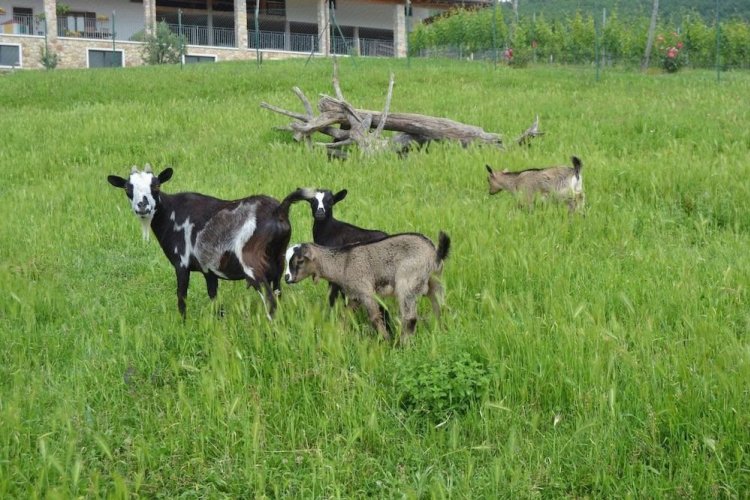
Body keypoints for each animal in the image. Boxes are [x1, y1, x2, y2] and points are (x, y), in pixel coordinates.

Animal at [107, 164, 309, 319]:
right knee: (278, 293)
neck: (170, 213)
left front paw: (183, 324)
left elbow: (181, 296)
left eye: (156, 186)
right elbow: (214, 298)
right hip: (279, 261)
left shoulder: (181, 264)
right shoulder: (208, 270)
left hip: (252, 264)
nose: (142, 206)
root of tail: (279, 210)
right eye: (128, 189)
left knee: (270, 300)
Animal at [284, 232, 451, 342]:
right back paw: (442, 331)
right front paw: (339, 332)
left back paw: (402, 344)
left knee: (409, 318)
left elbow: (374, 317)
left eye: (300, 260)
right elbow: (346, 314)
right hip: (435, 281)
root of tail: (435, 253)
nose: (287, 278)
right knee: (440, 307)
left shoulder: (365, 291)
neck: (343, 263)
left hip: (407, 281)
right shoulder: (355, 295)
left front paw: (385, 340)